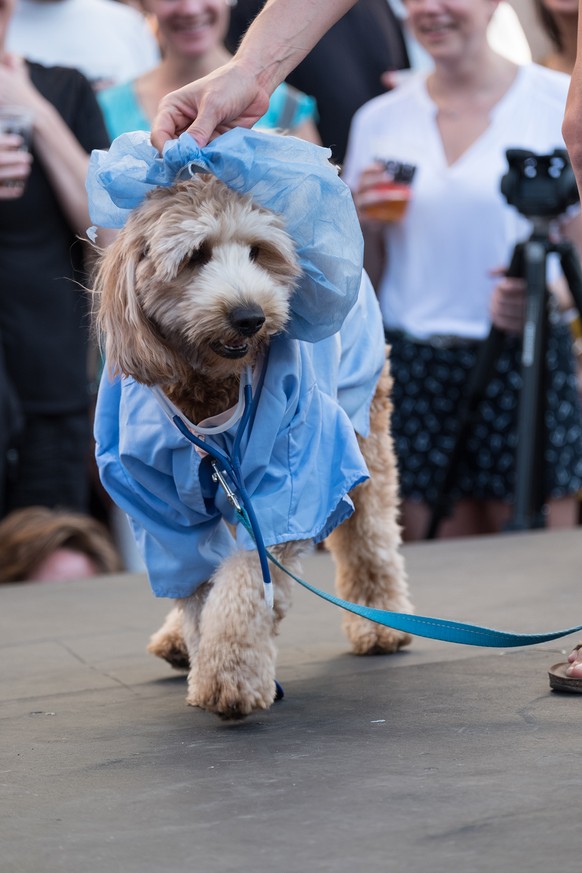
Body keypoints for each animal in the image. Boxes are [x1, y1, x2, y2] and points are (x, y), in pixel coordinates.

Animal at [94, 174, 416, 720]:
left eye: (257, 252)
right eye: (196, 256)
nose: (250, 316)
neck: (208, 388)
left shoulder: (288, 479)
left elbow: (248, 579)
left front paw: (229, 674)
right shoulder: (157, 505)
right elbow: (197, 583)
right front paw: (205, 654)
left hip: (363, 420)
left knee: (370, 535)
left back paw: (380, 623)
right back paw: (176, 640)